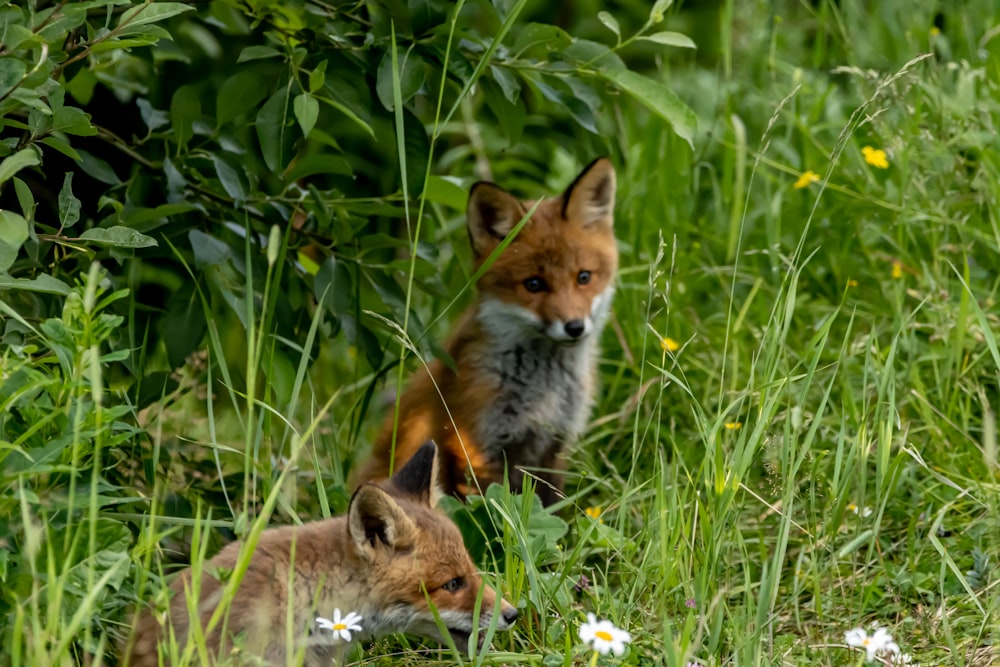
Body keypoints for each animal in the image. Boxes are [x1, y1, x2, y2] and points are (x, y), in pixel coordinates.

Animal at [352, 159, 616, 506]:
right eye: (534, 284)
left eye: (583, 277)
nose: (574, 327)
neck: (543, 392)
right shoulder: (475, 446)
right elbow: (491, 510)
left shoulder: (555, 445)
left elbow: (554, 509)